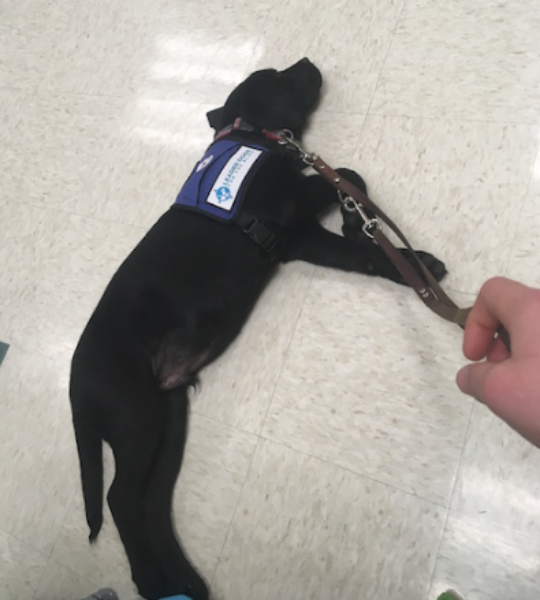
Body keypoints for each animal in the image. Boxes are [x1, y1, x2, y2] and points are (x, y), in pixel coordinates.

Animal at [68, 59, 448, 600]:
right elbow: (347, 175)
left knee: (151, 501)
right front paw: (364, 221)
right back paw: (150, 579)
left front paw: (407, 261)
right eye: (278, 75)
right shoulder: (294, 202)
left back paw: (183, 578)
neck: (248, 135)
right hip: (135, 417)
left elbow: (364, 250)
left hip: (168, 418)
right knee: (122, 498)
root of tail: (74, 388)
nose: (309, 60)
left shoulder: (304, 238)